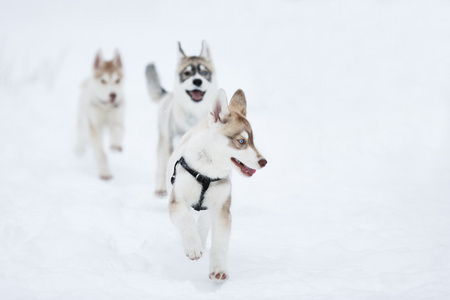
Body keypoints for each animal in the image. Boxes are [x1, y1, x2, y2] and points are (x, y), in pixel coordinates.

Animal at [75, 50, 125, 179]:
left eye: (117, 80)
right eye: (103, 81)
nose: (113, 95)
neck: (105, 108)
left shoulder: (117, 120)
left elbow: (117, 132)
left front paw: (115, 145)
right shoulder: (95, 126)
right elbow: (100, 152)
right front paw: (105, 172)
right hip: (83, 120)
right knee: (81, 135)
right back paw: (79, 151)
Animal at [146, 41, 218, 197]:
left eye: (204, 72)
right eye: (187, 73)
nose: (197, 81)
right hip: (164, 140)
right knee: (161, 166)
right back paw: (160, 188)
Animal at [168, 88, 268, 282]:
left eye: (253, 141)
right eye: (241, 141)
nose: (264, 162)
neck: (207, 171)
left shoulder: (222, 209)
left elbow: (220, 243)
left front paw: (218, 269)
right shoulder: (177, 201)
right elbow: (186, 220)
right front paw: (192, 247)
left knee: (204, 222)